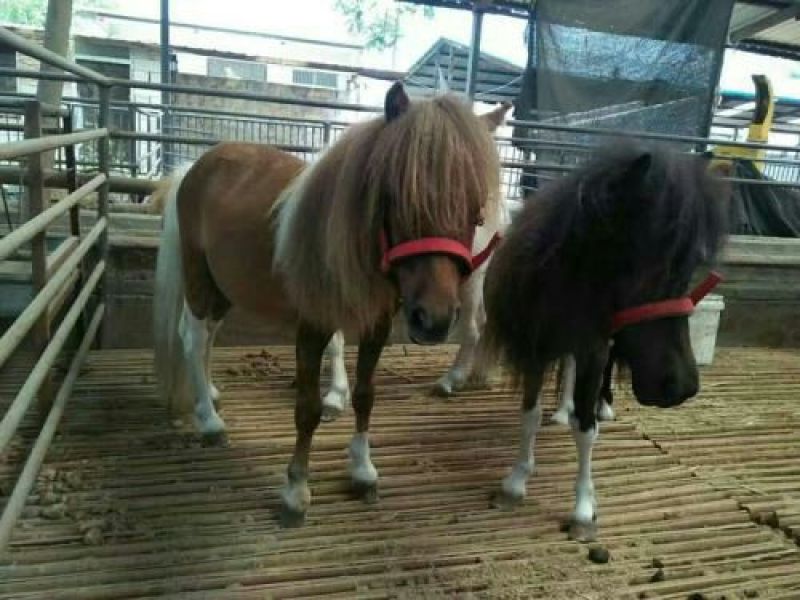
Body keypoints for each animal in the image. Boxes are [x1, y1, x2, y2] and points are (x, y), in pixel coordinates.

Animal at [152, 82, 508, 526]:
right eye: (397, 197)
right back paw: (209, 419)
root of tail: (193, 168)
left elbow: (365, 394)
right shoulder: (312, 327)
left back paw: (212, 394)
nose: (435, 320)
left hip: (225, 285)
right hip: (199, 274)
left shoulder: (376, 326)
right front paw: (295, 491)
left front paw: (362, 469)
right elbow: (307, 410)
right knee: (194, 334)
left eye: (477, 210)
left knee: (209, 332)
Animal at [479, 142, 728, 542]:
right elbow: (530, 416)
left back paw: (602, 405)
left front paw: (583, 509)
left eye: (690, 267)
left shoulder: (594, 349)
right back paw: (562, 409)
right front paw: (515, 483)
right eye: (650, 268)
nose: (682, 386)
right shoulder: (535, 350)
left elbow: (586, 431)